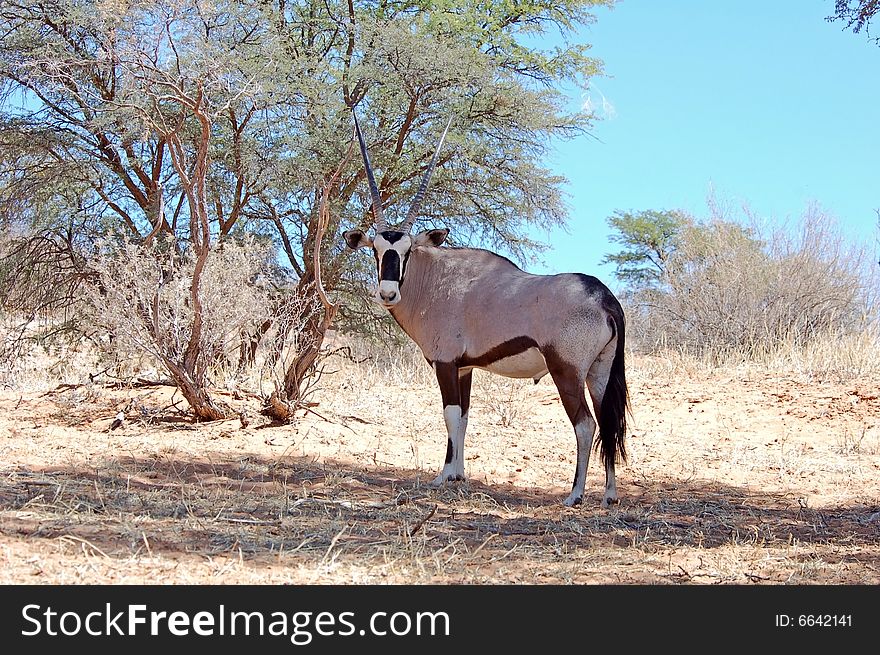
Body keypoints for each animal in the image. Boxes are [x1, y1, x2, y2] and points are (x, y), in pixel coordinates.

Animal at [340, 111, 628, 508]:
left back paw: (575, 494)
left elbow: (449, 414)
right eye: (376, 250)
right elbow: (463, 416)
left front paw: (444, 476)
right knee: (608, 421)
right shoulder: (465, 368)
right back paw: (610, 494)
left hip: (567, 372)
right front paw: (458, 473)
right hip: (599, 372)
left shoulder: (446, 363)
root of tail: (604, 298)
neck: (436, 280)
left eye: (408, 250)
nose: (388, 292)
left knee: (586, 425)